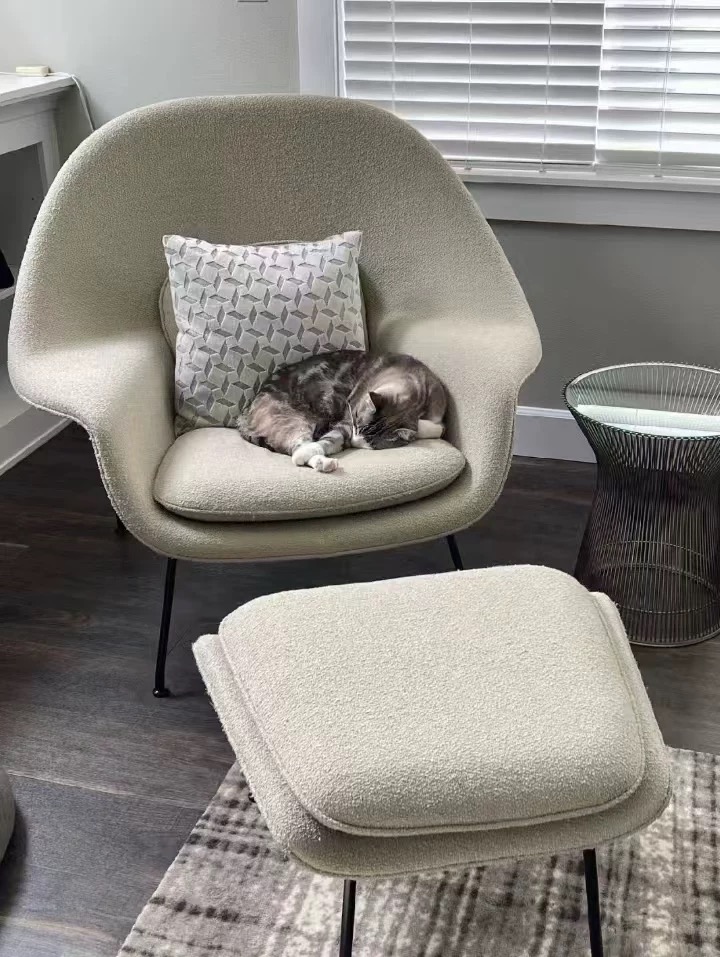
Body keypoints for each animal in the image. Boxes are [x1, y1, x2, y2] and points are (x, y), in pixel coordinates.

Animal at [237, 350, 447, 472]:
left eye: (371, 443)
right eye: (357, 422)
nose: (351, 442)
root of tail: (244, 414)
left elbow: (435, 427)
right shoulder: (347, 417)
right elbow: (329, 439)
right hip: (292, 420)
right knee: (298, 447)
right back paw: (323, 462)